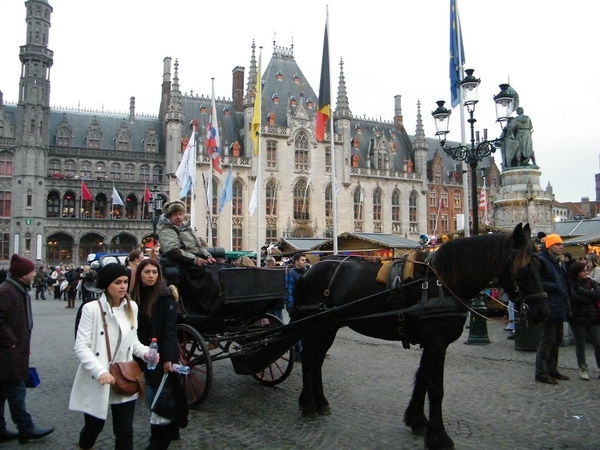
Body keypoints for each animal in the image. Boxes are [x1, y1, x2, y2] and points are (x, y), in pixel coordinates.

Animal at [292, 223, 548, 448]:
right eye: (523, 267)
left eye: (540, 265)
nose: (541, 312)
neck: (442, 282)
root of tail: (309, 270)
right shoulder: (436, 342)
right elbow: (436, 388)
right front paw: (439, 437)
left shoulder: (432, 343)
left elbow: (422, 378)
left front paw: (417, 420)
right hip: (316, 326)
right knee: (309, 360)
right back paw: (308, 404)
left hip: (328, 327)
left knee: (316, 361)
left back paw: (320, 402)